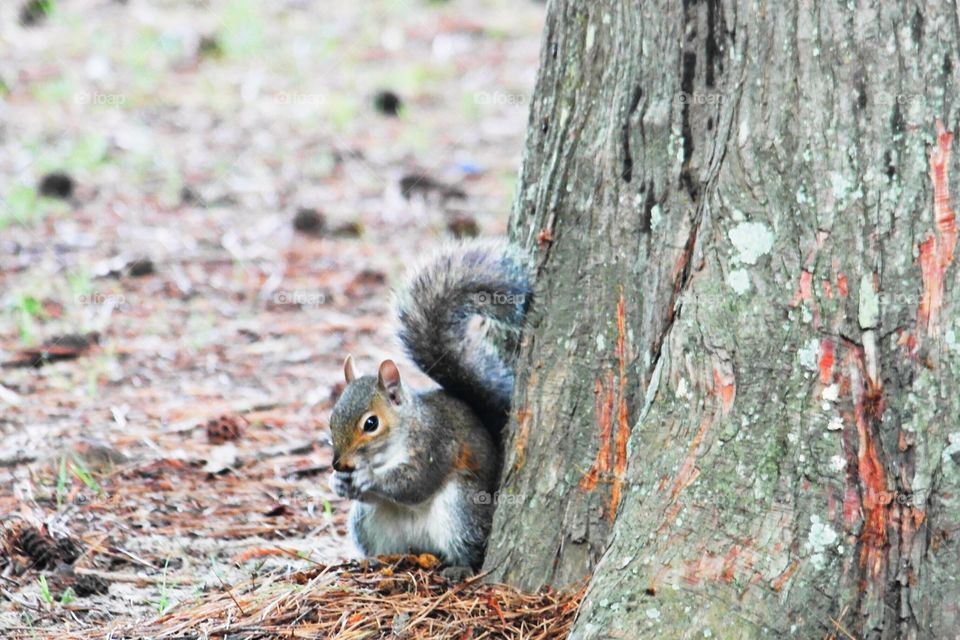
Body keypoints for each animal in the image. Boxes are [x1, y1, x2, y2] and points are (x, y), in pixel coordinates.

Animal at [327, 238, 531, 571]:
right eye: (331, 419)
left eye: (371, 423)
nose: (338, 464)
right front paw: (339, 483)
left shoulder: (436, 440)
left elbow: (416, 482)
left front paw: (370, 478)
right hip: (368, 522)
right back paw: (377, 562)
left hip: (460, 506)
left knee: (467, 542)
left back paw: (459, 567)